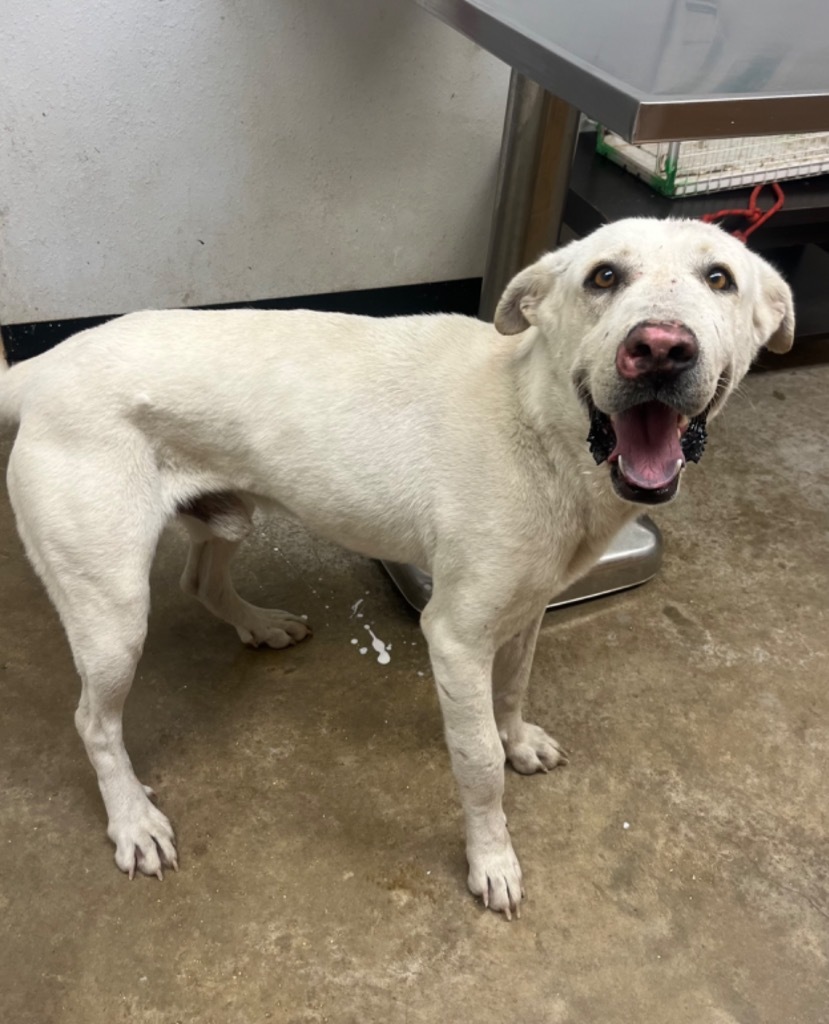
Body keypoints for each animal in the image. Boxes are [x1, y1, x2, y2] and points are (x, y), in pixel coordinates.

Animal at [0, 220, 790, 917]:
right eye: (603, 277)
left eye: (719, 278)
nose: (658, 349)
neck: (535, 418)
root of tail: (46, 364)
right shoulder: (455, 637)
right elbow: (477, 765)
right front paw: (491, 858)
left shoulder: (528, 609)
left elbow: (514, 689)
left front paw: (518, 741)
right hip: (113, 615)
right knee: (94, 723)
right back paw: (132, 818)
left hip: (228, 514)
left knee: (203, 582)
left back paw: (260, 625)